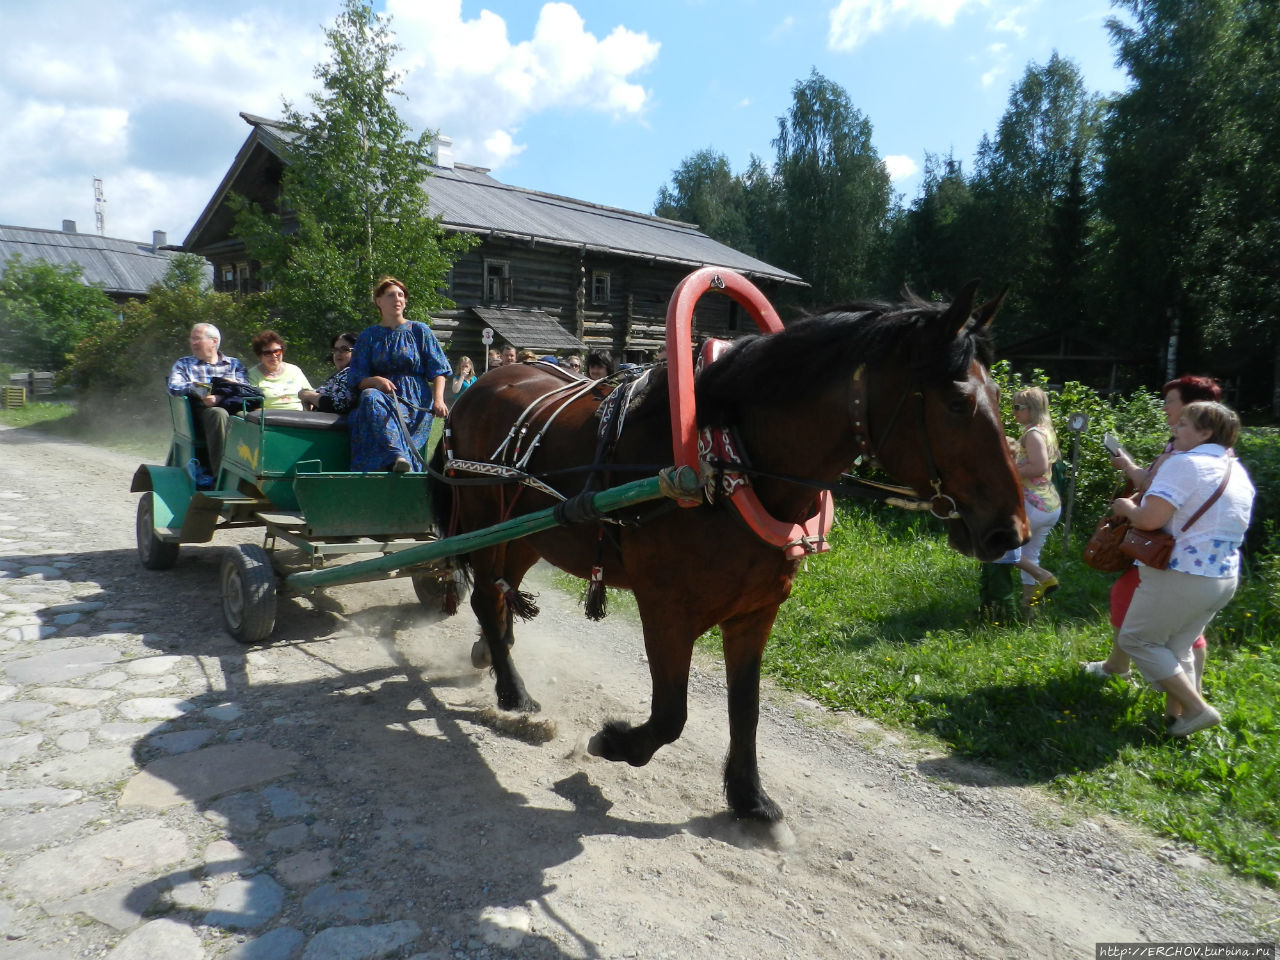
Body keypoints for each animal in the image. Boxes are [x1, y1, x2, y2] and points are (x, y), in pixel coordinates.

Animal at [432, 284, 1029, 829]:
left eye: (1000, 396)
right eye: (957, 404)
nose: (1010, 532)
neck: (725, 461)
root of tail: (479, 386)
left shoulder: (755, 613)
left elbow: (746, 708)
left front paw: (749, 797)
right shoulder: (666, 611)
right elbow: (671, 715)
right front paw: (615, 742)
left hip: (525, 535)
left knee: (503, 595)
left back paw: (492, 655)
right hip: (483, 523)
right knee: (487, 598)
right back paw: (513, 692)